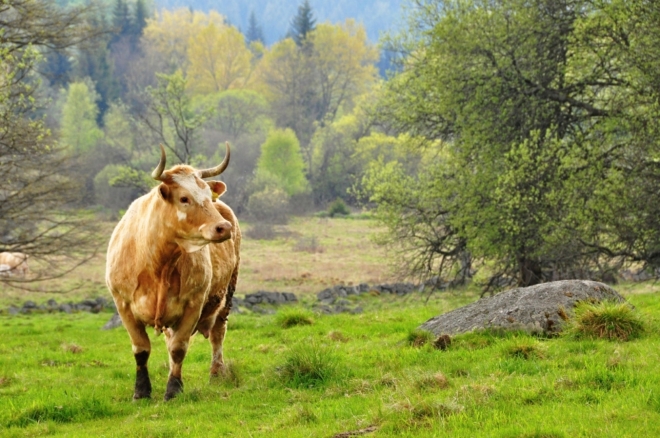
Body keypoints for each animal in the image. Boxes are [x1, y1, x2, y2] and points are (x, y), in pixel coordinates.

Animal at [105, 143, 242, 400]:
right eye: (184, 198)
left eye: (207, 196)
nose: (223, 227)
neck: (157, 264)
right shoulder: (123, 304)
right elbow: (142, 349)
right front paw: (141, 391)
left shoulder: (193, 303)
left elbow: (179, 348)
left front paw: (173, 389)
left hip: (226, 294)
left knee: (218, 333)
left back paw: (216, 373)